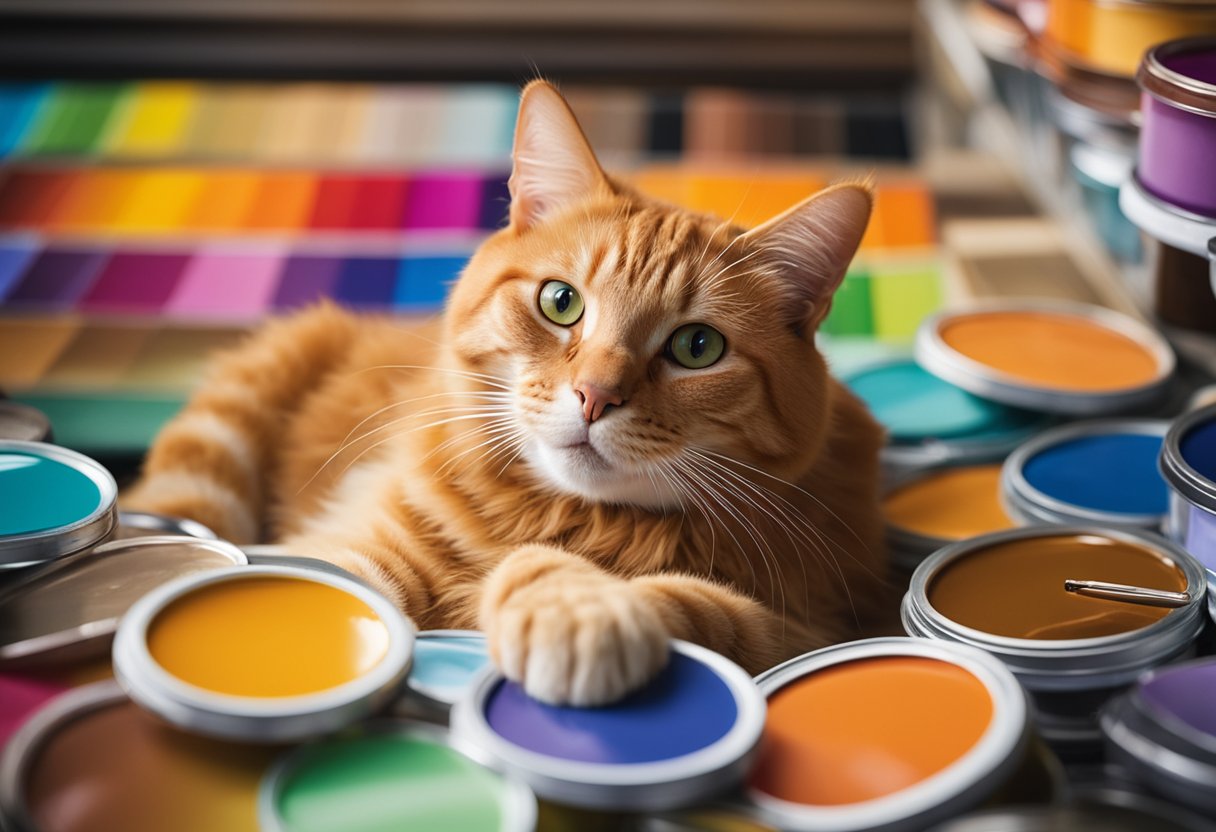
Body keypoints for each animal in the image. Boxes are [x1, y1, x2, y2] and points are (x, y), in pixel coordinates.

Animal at [120, 79, 885, 700]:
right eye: (561, 303)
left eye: (698, 348)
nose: (595, 395)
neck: (572, 517)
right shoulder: (355, 546)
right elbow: (316, 584)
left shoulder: (801, 627)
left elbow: (705, 611)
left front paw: (578, 608)